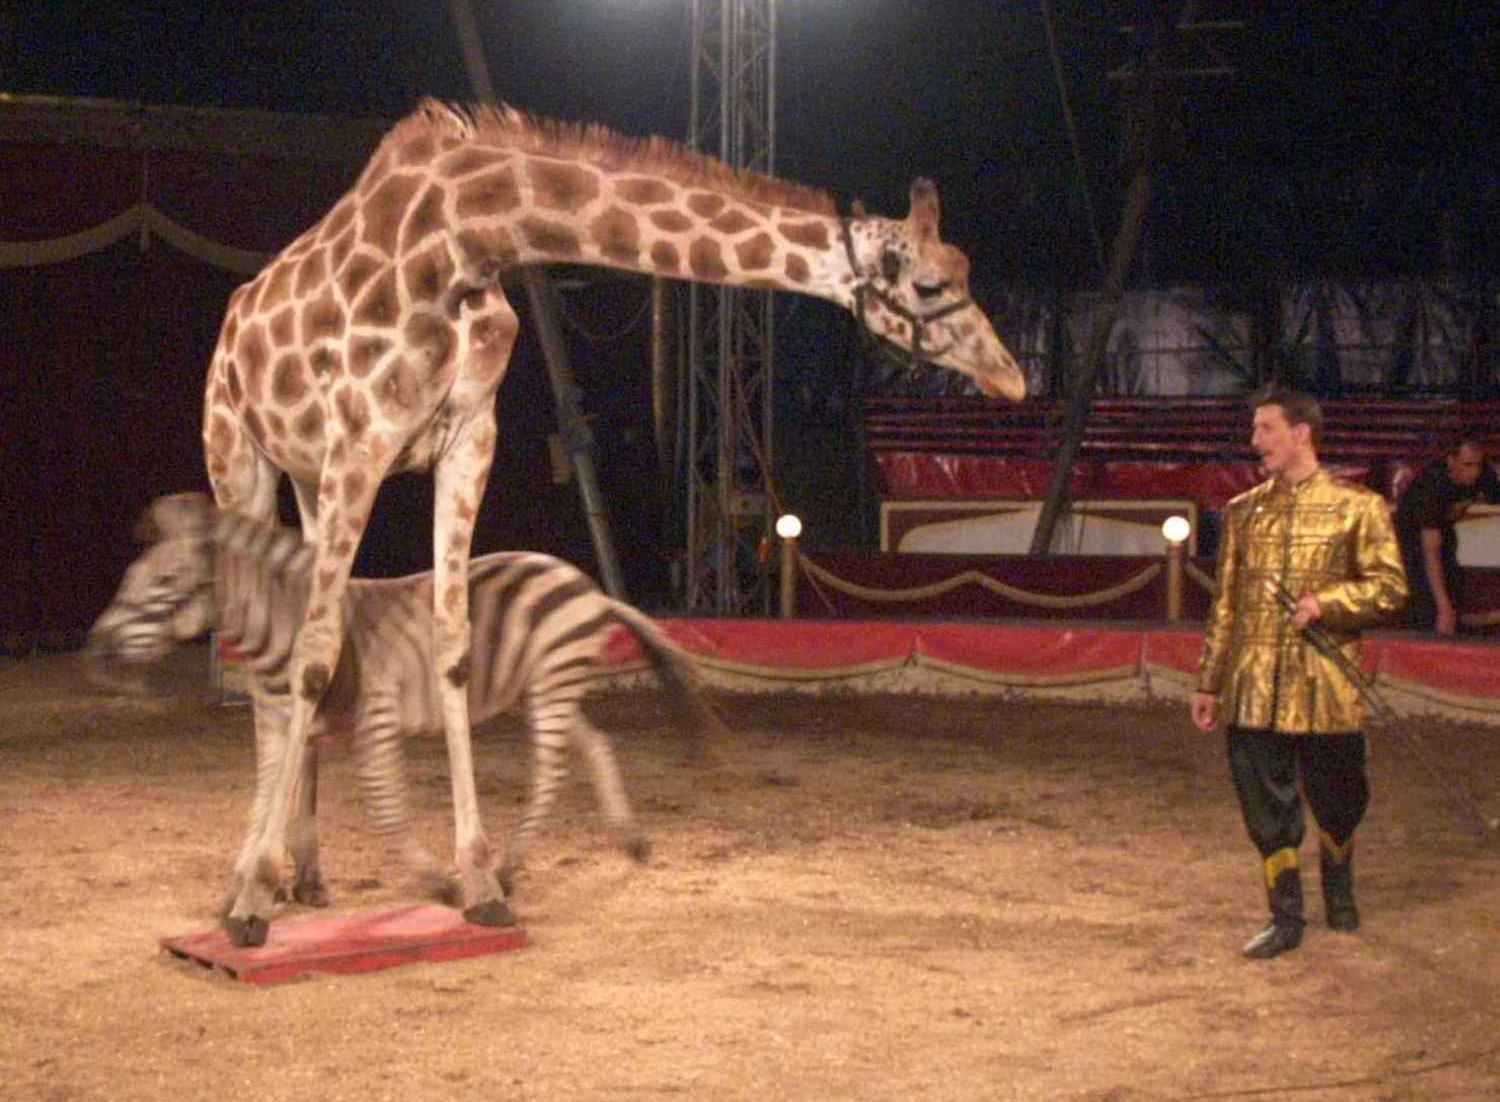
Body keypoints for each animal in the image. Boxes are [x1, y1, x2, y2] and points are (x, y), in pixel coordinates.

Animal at [86, 493, 722, 927]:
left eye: (166, 580)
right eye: (130, 577)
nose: (95, 649)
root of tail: (590, 587)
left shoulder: (377, 721)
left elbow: (385, 809)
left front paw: (444, 882)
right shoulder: (288, 730)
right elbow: (263, 804)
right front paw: (240, 893)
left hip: (550, 680)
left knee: (551, 768)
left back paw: (508, 867)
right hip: (541, 689)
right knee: (593, 744)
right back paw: (628, 841)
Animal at [203, 98, 1025, 946]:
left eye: (963, 270)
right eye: (930, 283)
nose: (1011, 376)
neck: (468, 234)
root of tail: (235, 319)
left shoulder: (466, 439)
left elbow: (450, 643)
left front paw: (480, 881)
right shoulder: (362, 440)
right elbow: (313, 656)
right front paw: (251, 897)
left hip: (308, 478)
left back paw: (307, 871)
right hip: (240, 455)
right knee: (264, 643)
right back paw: (251, 877)